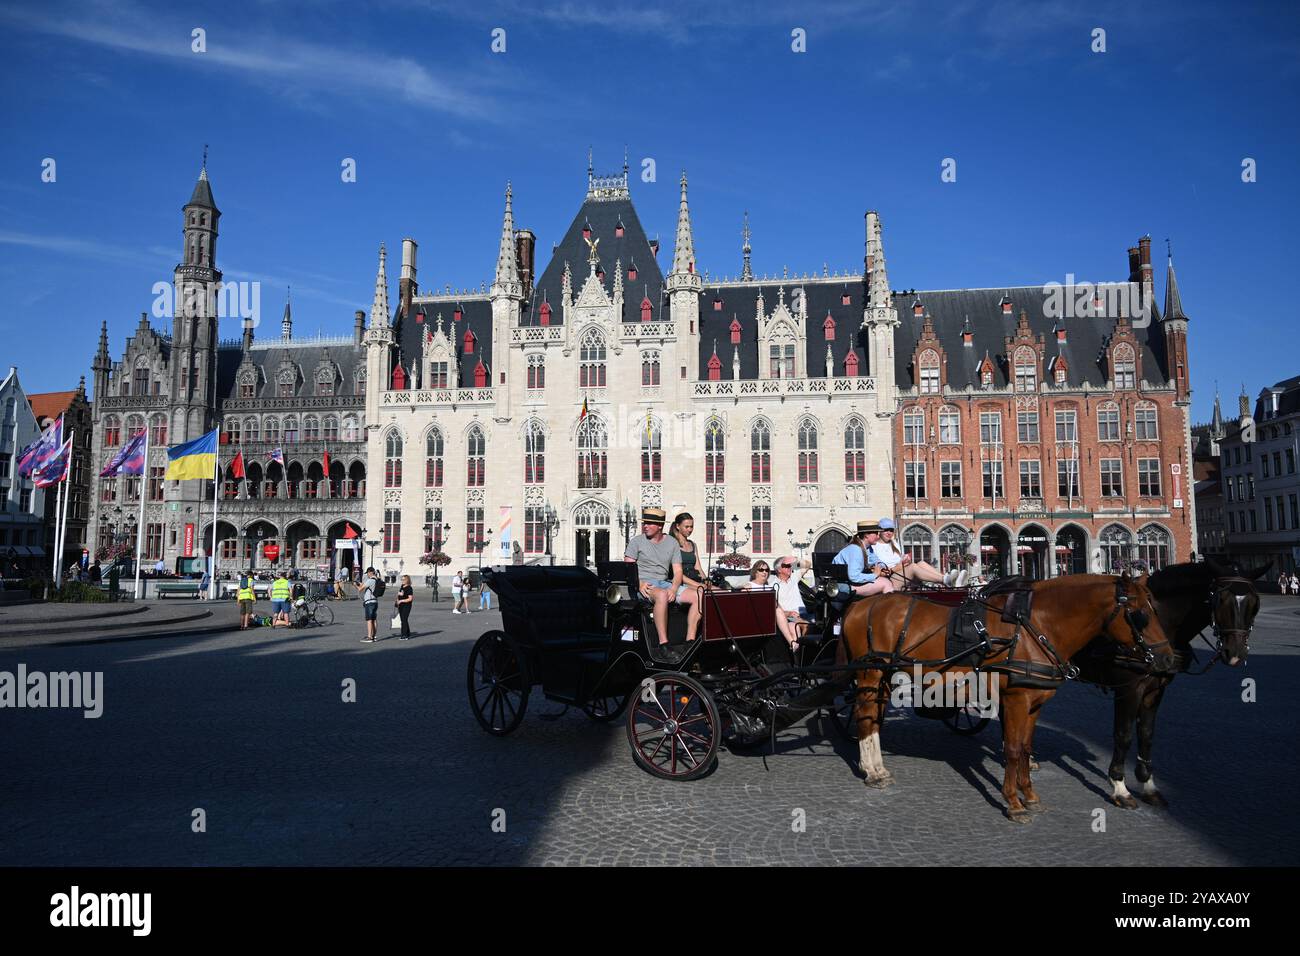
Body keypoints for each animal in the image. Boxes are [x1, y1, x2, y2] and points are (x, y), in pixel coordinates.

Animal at [837, 572, 1185, 827]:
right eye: (1139, 616)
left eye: (1156, 609)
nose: (1168, 659)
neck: (1035, 629)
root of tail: (858, 605)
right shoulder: (1016, 700)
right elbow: (1014, 749)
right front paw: (1014, 803)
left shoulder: (1034, 702)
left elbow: (1026, 747)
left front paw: (1030, 796)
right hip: (869, 675)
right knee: (865, 717)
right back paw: (871, 772)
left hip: (882, 676)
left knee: (873, 717)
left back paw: (878, 768)